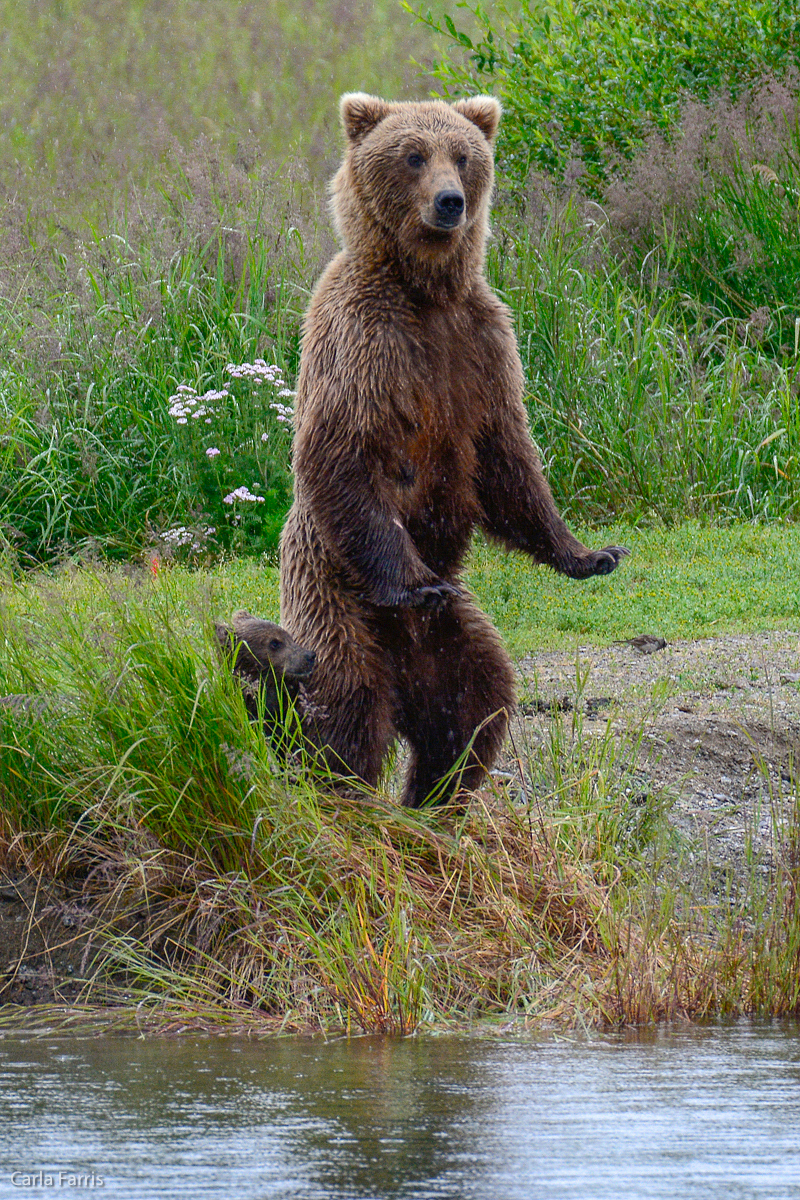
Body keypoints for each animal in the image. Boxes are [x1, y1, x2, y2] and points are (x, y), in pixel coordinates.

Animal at [280, 91, 623, 806]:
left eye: (463, 156)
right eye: (413, 154)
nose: (449, 202)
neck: (426, 292)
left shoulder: (482, 342)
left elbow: (507, 460)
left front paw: (590, 554)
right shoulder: (364, 338)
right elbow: (342, 453)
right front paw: (412, 583)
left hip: (456, 640)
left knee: (475, 707)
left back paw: (436, 796)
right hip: (335, 608)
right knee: (348, 712)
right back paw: (352, 795)